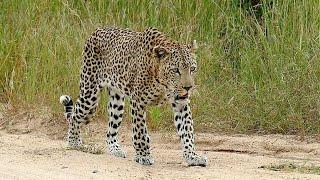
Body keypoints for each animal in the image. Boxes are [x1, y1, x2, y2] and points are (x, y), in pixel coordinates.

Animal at [59, 26, 209, 166]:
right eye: (176, 70)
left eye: (192, 69)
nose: (188, 87)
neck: (162, 83)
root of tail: (97, 30)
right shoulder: (138, 101)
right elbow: (140, 132)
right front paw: (143, 156)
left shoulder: (181, 103)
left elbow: (187, 130)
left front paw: (192, 156)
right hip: (90, 95)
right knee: (75, 115)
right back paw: (75, 143)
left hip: (117, 101)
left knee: (111, 129)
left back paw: (115, 149)